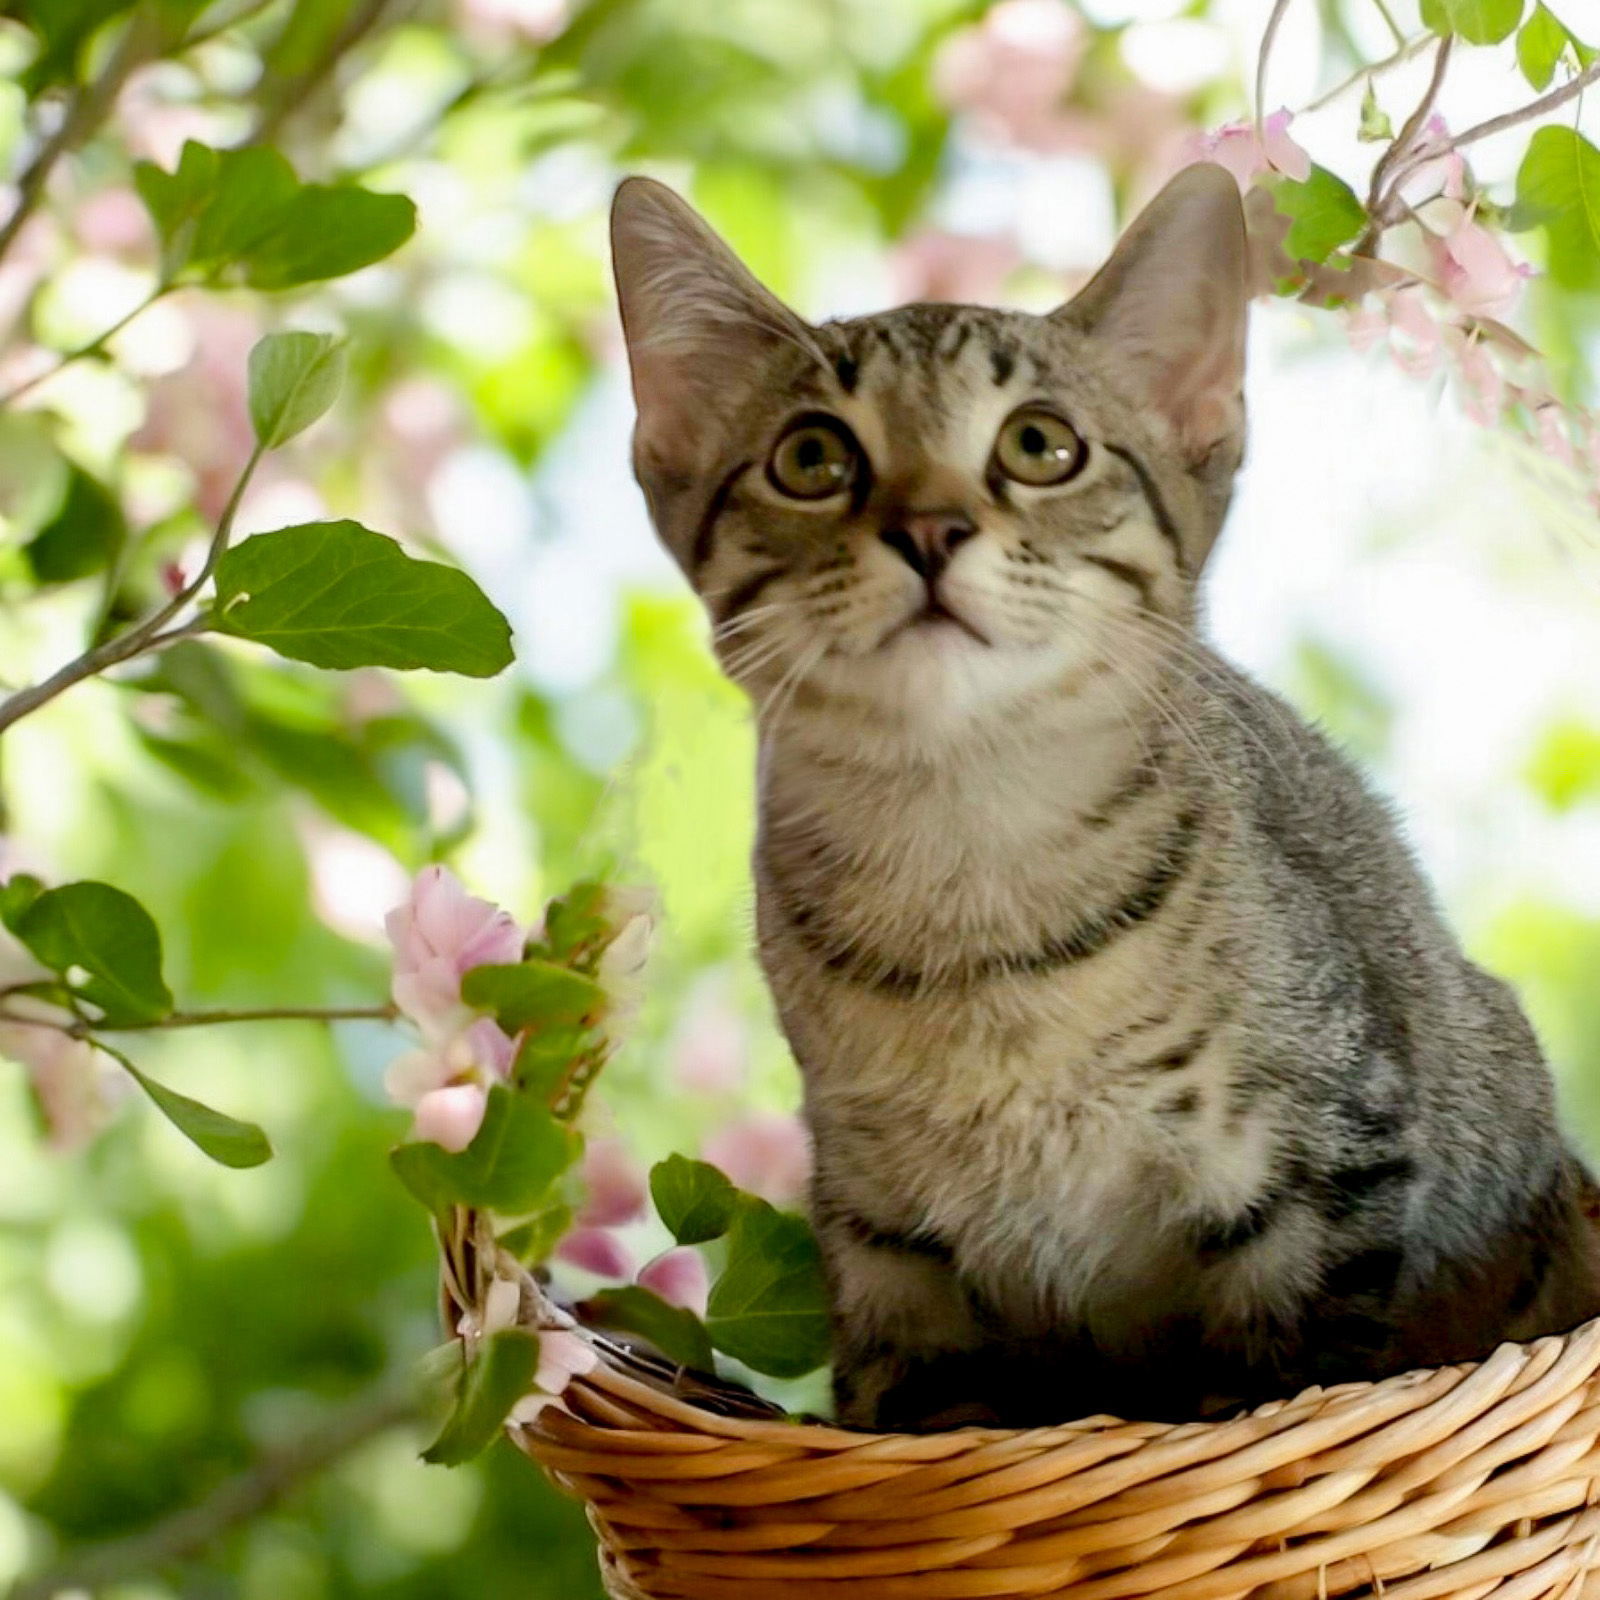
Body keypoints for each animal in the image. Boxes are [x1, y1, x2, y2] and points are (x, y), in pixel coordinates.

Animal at [601, 168, 1600, 1433]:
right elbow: (918, 1405)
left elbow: (1288, 1387)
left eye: (1040, 445)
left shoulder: (1333, 1170)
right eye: (812, 458)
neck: (972, 873)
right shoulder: (881, 1246)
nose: (928, 529)